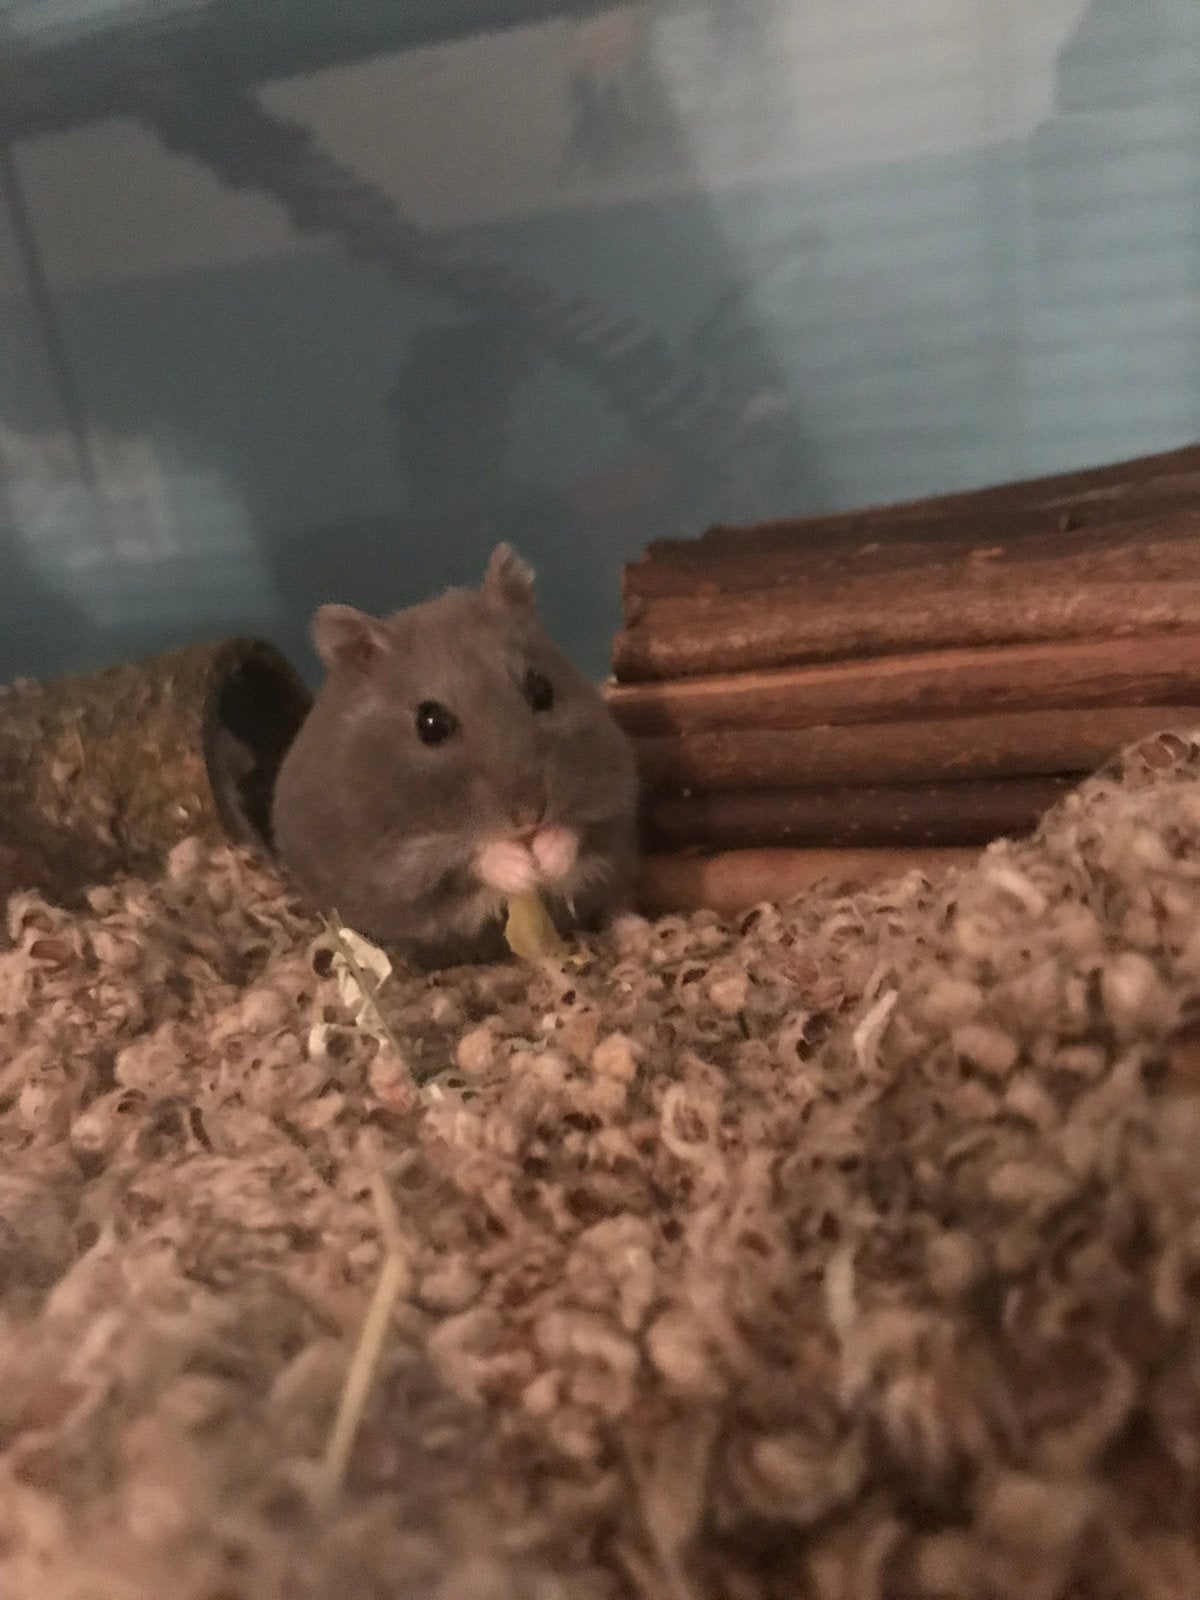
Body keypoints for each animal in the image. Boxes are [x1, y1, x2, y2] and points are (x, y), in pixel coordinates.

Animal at [271, 544, 639, 969]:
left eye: (542, 690)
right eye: (430, 724)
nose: (529, 817)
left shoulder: (613, 790)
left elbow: (582, 831)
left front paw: (546, 859)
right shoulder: (394, 865)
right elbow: (464, 863)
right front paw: (522, 871)